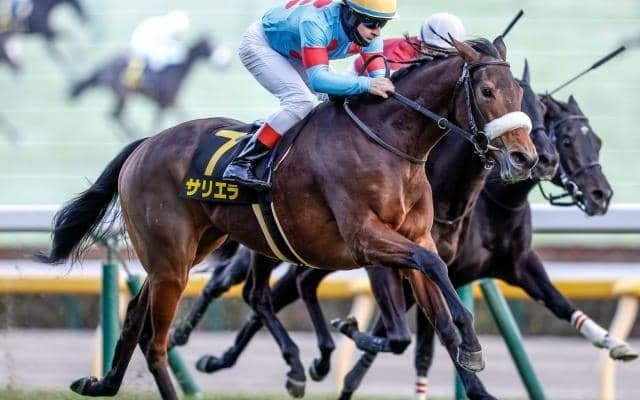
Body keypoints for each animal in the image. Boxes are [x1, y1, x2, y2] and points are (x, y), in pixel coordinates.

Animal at [68, 36, 219, 139]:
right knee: (114, 115)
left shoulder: (170, 102)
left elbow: (180, 116)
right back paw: (133, 133)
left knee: (114, 115)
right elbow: (161, 122)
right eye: (209, 46)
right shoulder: (165, 102)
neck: (176, 69)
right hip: (123, 95)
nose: (219, 62)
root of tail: (104, 66)